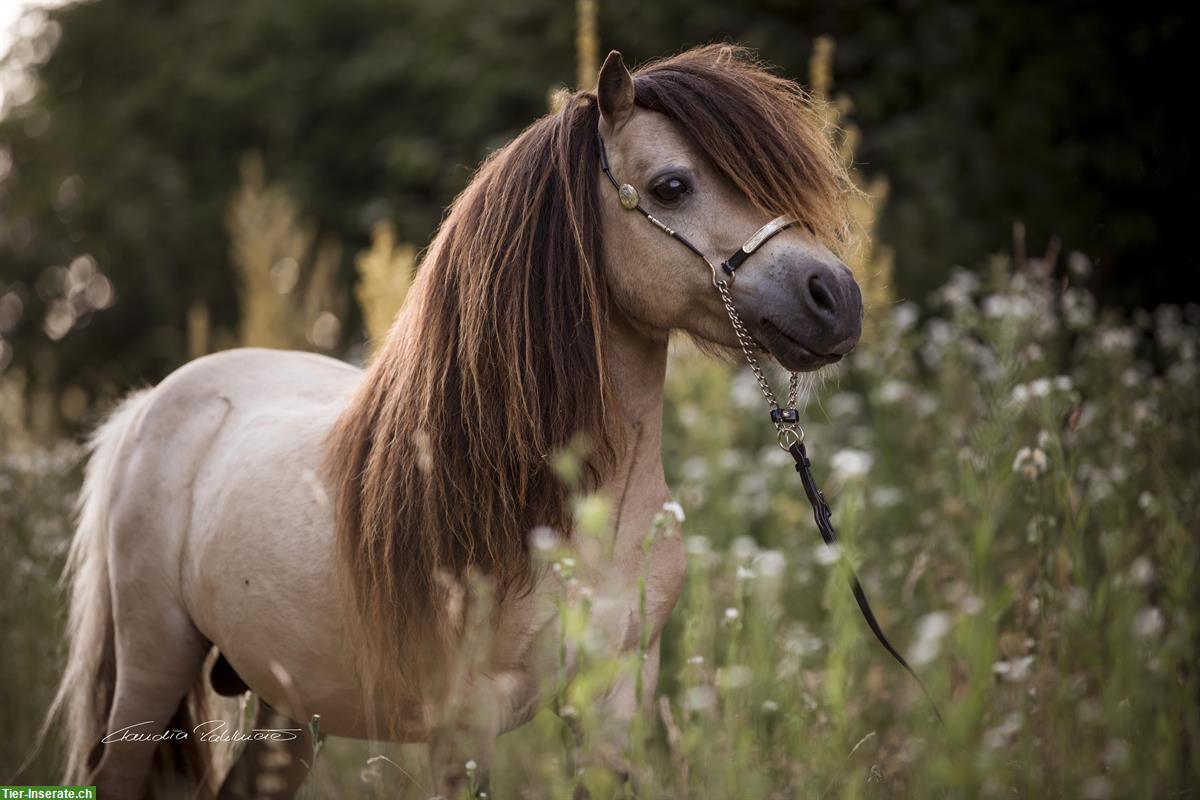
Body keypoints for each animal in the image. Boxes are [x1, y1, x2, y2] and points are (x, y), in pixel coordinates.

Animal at [46, 47, 864, 796]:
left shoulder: (613, 703)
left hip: (290, 705)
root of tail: (151, 404)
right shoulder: (465, 726)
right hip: (152, 668)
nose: (837, 298)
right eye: (671, 185)